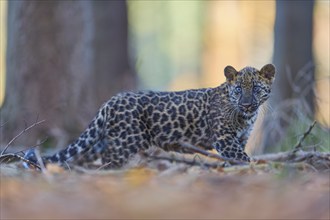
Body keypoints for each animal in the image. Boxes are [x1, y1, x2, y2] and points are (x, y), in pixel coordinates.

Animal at [23, 63, 276, 168]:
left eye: (255, 88)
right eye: (238, 90)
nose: (246, 104)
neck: (246, 116)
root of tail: (110, 101)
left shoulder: (240, 138)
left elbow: (236, 156)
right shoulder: (224, 138)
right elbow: (241, 157)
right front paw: (253, 168)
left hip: (105, 139)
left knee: (85, 155)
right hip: (125, 141)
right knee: (107, 160)